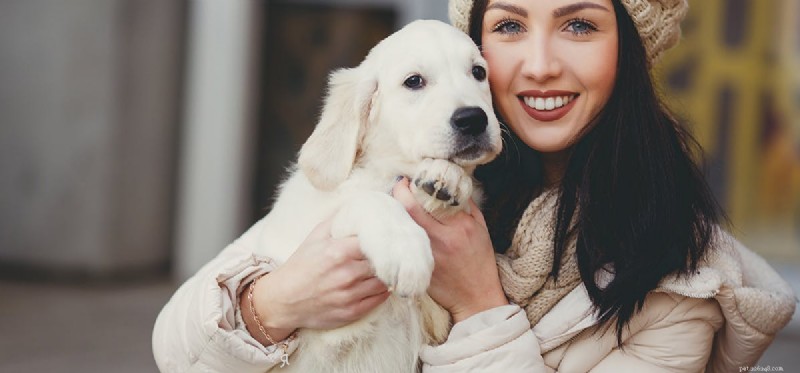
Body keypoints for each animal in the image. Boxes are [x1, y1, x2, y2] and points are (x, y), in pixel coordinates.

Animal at [253, 21, 500, 372]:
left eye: (478, 72)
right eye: (414, 81)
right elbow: (369, 200)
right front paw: (405, 249)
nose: (473, 118)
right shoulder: (325, 333)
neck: (389, 172)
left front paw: (446, 180)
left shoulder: (438, 322)